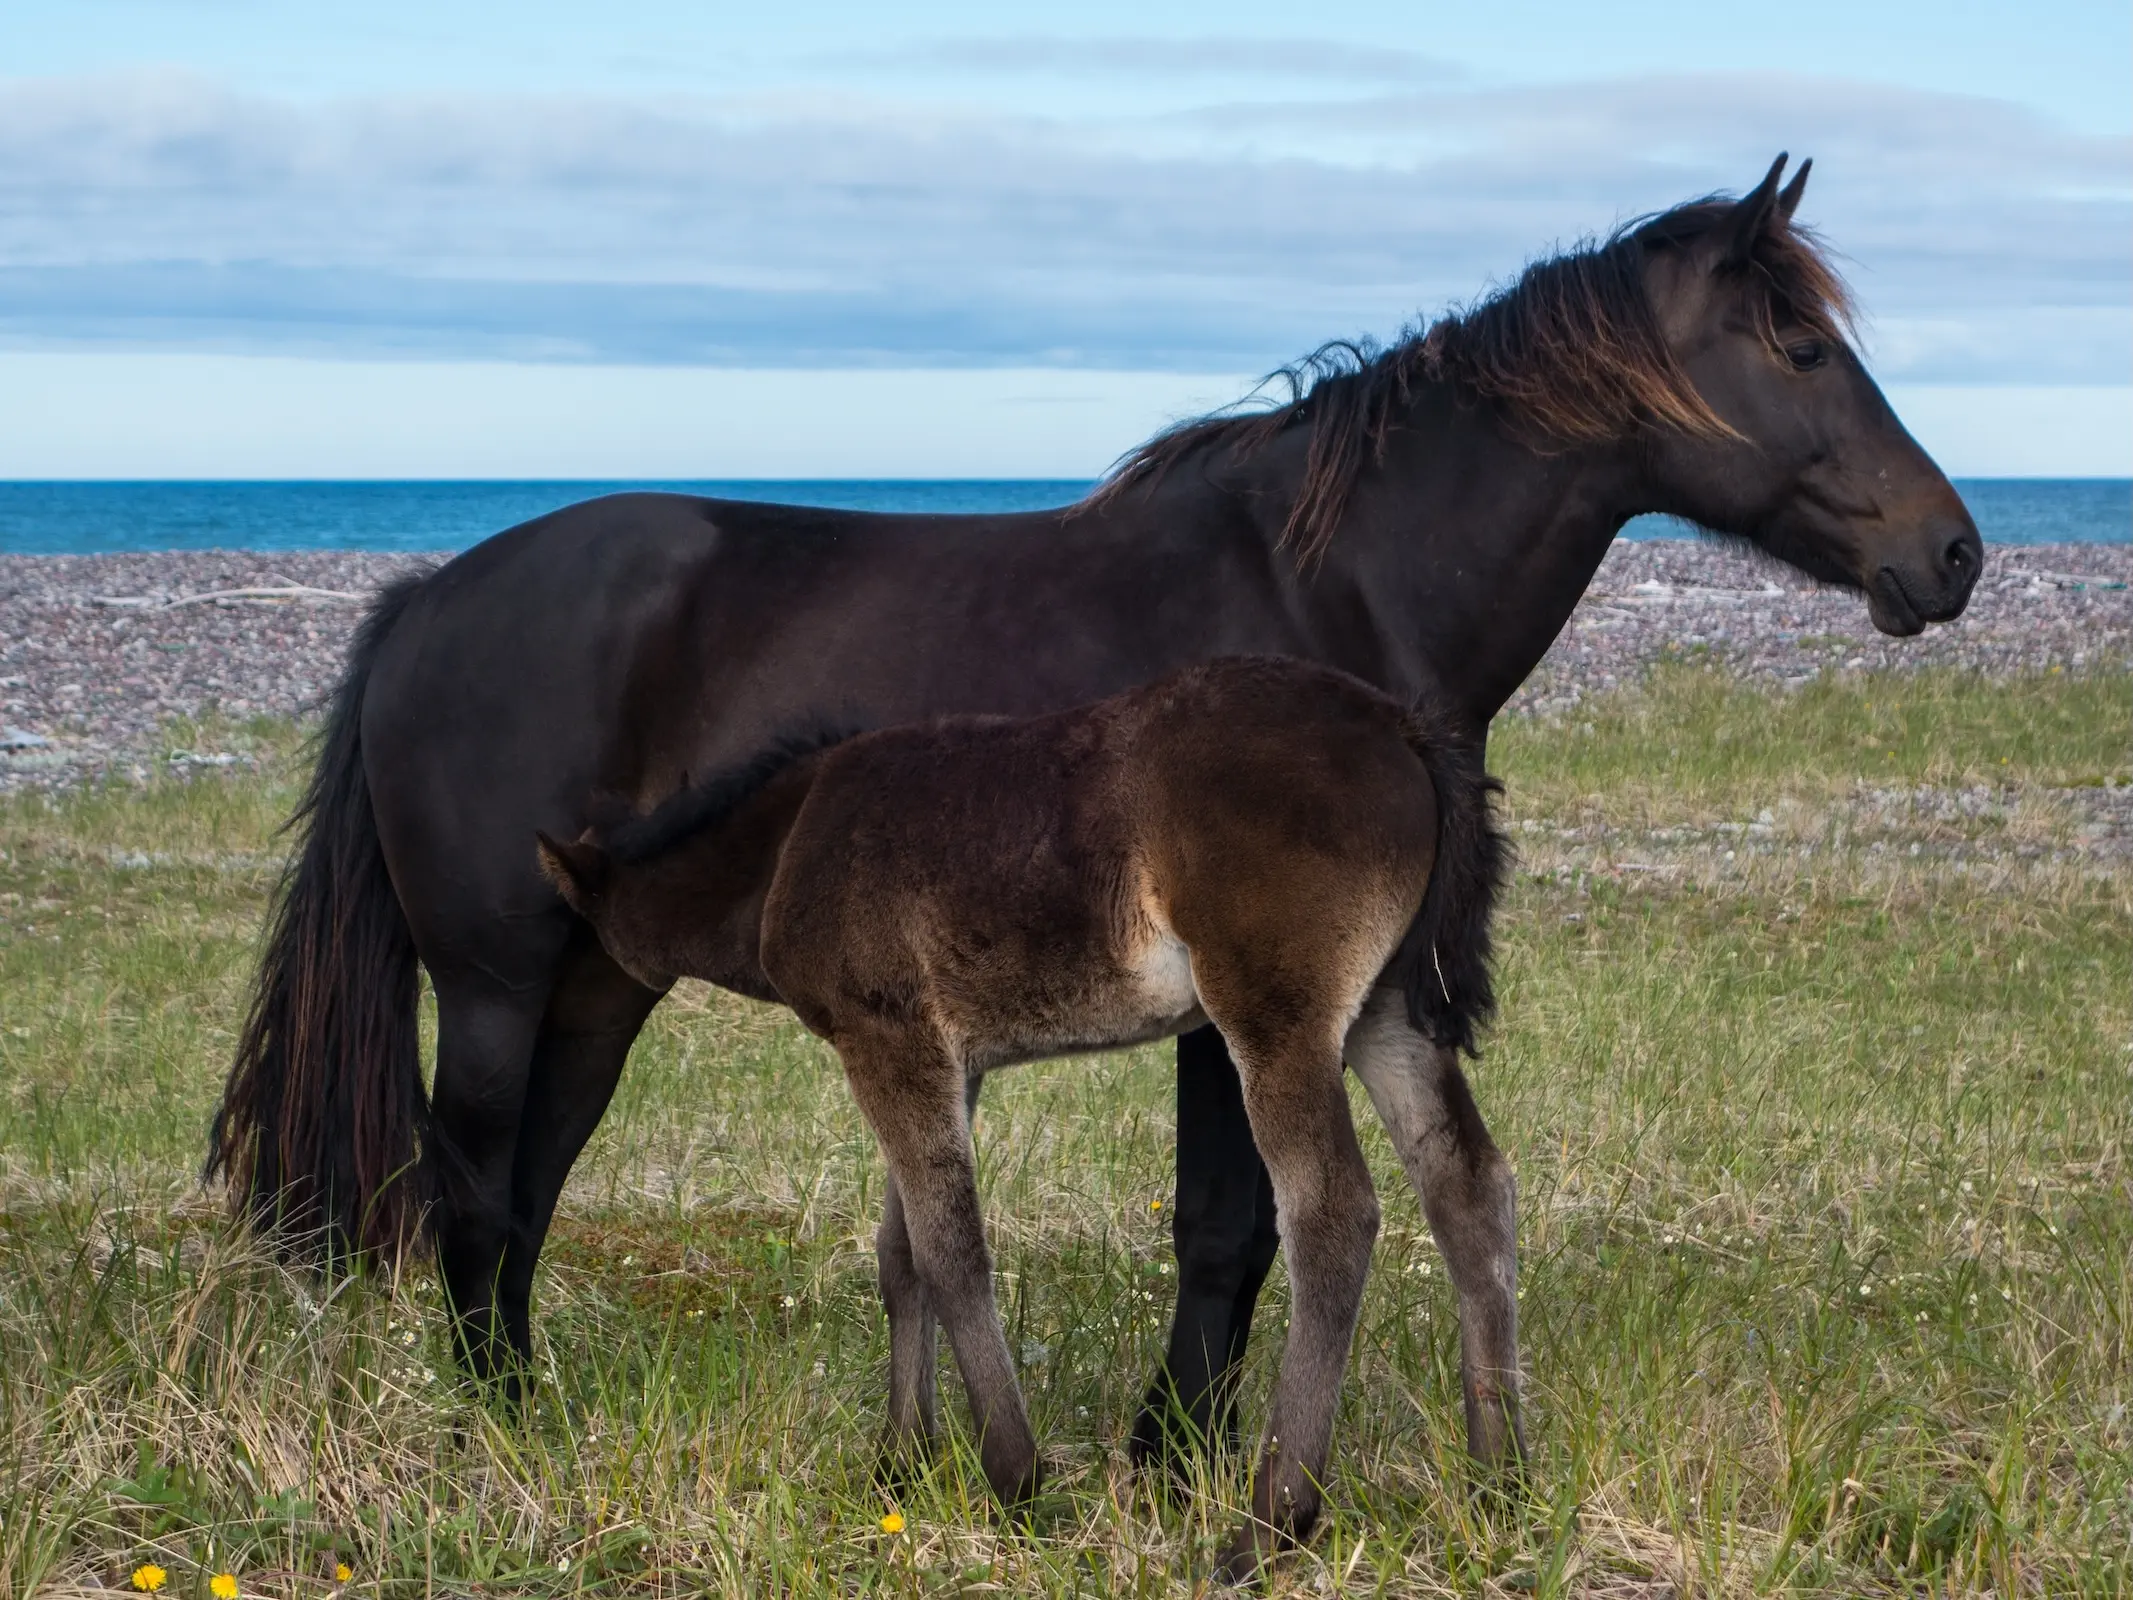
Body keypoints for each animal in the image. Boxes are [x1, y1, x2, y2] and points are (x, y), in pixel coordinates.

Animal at [206, 155, 1982, 1474]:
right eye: (1805, 350)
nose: (1952, 553)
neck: (1331, 586)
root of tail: (427, 601)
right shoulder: (1237, 1005)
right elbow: (1227, 1229)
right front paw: (1171, 1454)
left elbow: (1232, 1228)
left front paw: (1168, 1447)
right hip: (499, 985)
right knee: (475, 1193)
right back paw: (491, 1437)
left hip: (596, 986)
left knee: (524, 1200)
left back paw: (526, 1417)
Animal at [534, 654, 1510, 1582]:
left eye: (565, 940)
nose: (544, 1036)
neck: (784, 846)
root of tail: (1401, 727)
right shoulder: (945, 1062)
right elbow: (901, 1256)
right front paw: (899, 1469)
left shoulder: (887, 1042)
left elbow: (951, 1252)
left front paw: (1014, 1480)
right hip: (1387, 1012)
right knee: (1468, 1188)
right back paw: (1498, 1483)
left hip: (1280, 1017)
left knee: (1333, 1215)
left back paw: (1267, 1530)